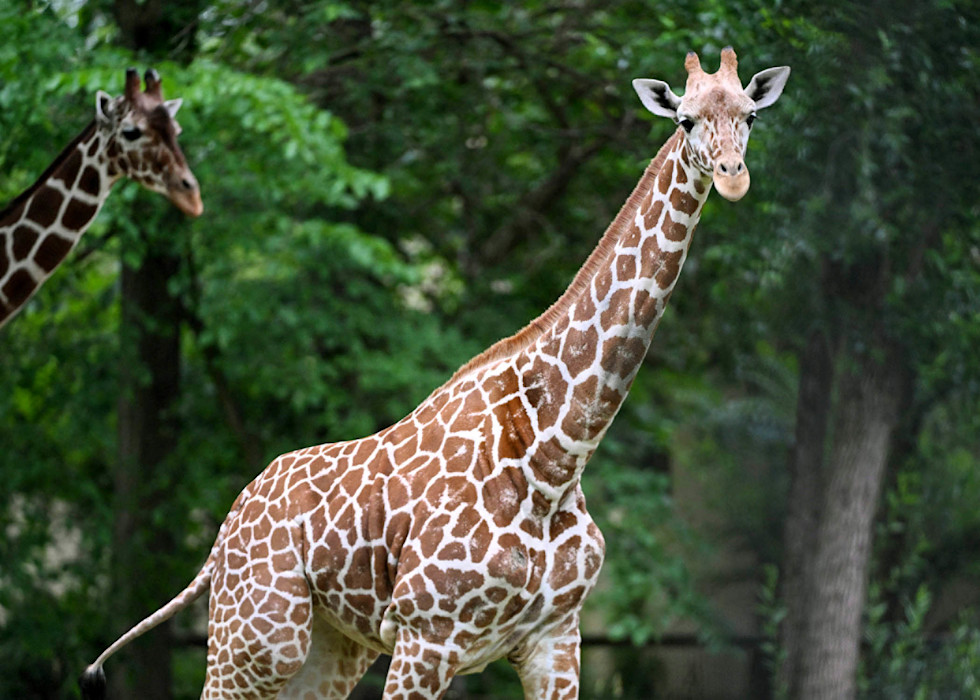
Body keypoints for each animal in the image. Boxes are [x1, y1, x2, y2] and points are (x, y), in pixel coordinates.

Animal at [81, 48, 788, 699]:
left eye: (750, 115)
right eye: (686, 119)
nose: (733, 177)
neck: (557, 455)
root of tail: (222, 534)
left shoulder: (555, 638)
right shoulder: (428, 636)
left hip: (329, 646)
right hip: (258, 636)